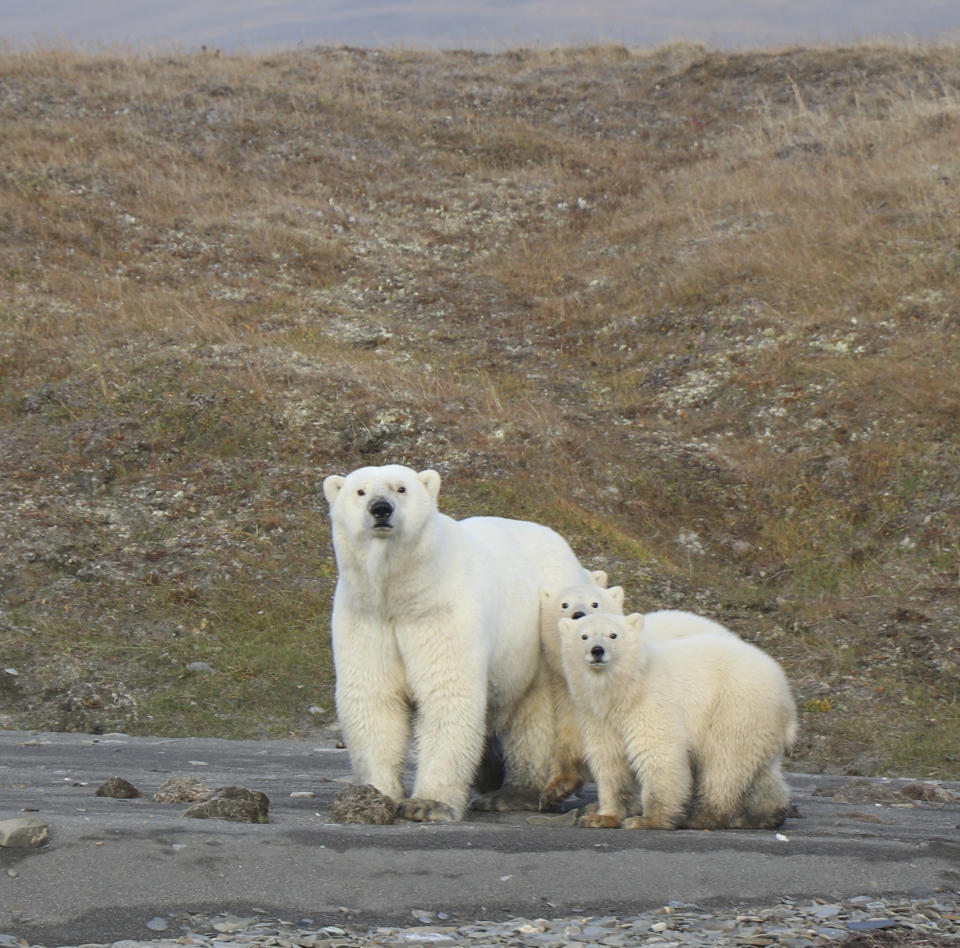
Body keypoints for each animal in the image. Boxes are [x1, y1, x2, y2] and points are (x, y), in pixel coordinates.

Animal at [324, 466, 592, 824]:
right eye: (360, 491)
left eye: (401, 488)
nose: (381, 509)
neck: (401, 594)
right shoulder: (366, 617)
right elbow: (373, 697)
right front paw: (376, 793)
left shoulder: (441, 611)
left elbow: (447, 693)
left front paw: (427, 804)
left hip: (542, 635)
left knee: (539, 716)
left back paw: (517, 793)